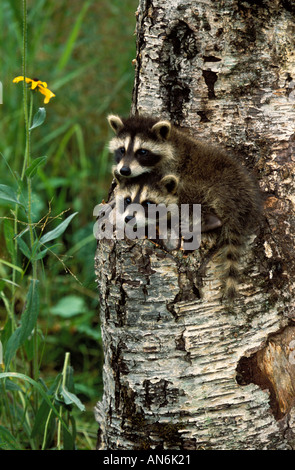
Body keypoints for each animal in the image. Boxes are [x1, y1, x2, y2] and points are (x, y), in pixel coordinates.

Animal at [107, 113, 262, 302]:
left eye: (142, 152)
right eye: (122, 150)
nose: (124, 170)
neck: (172, 143)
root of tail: (241, 203)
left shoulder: (171, 171)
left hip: (209, 190)